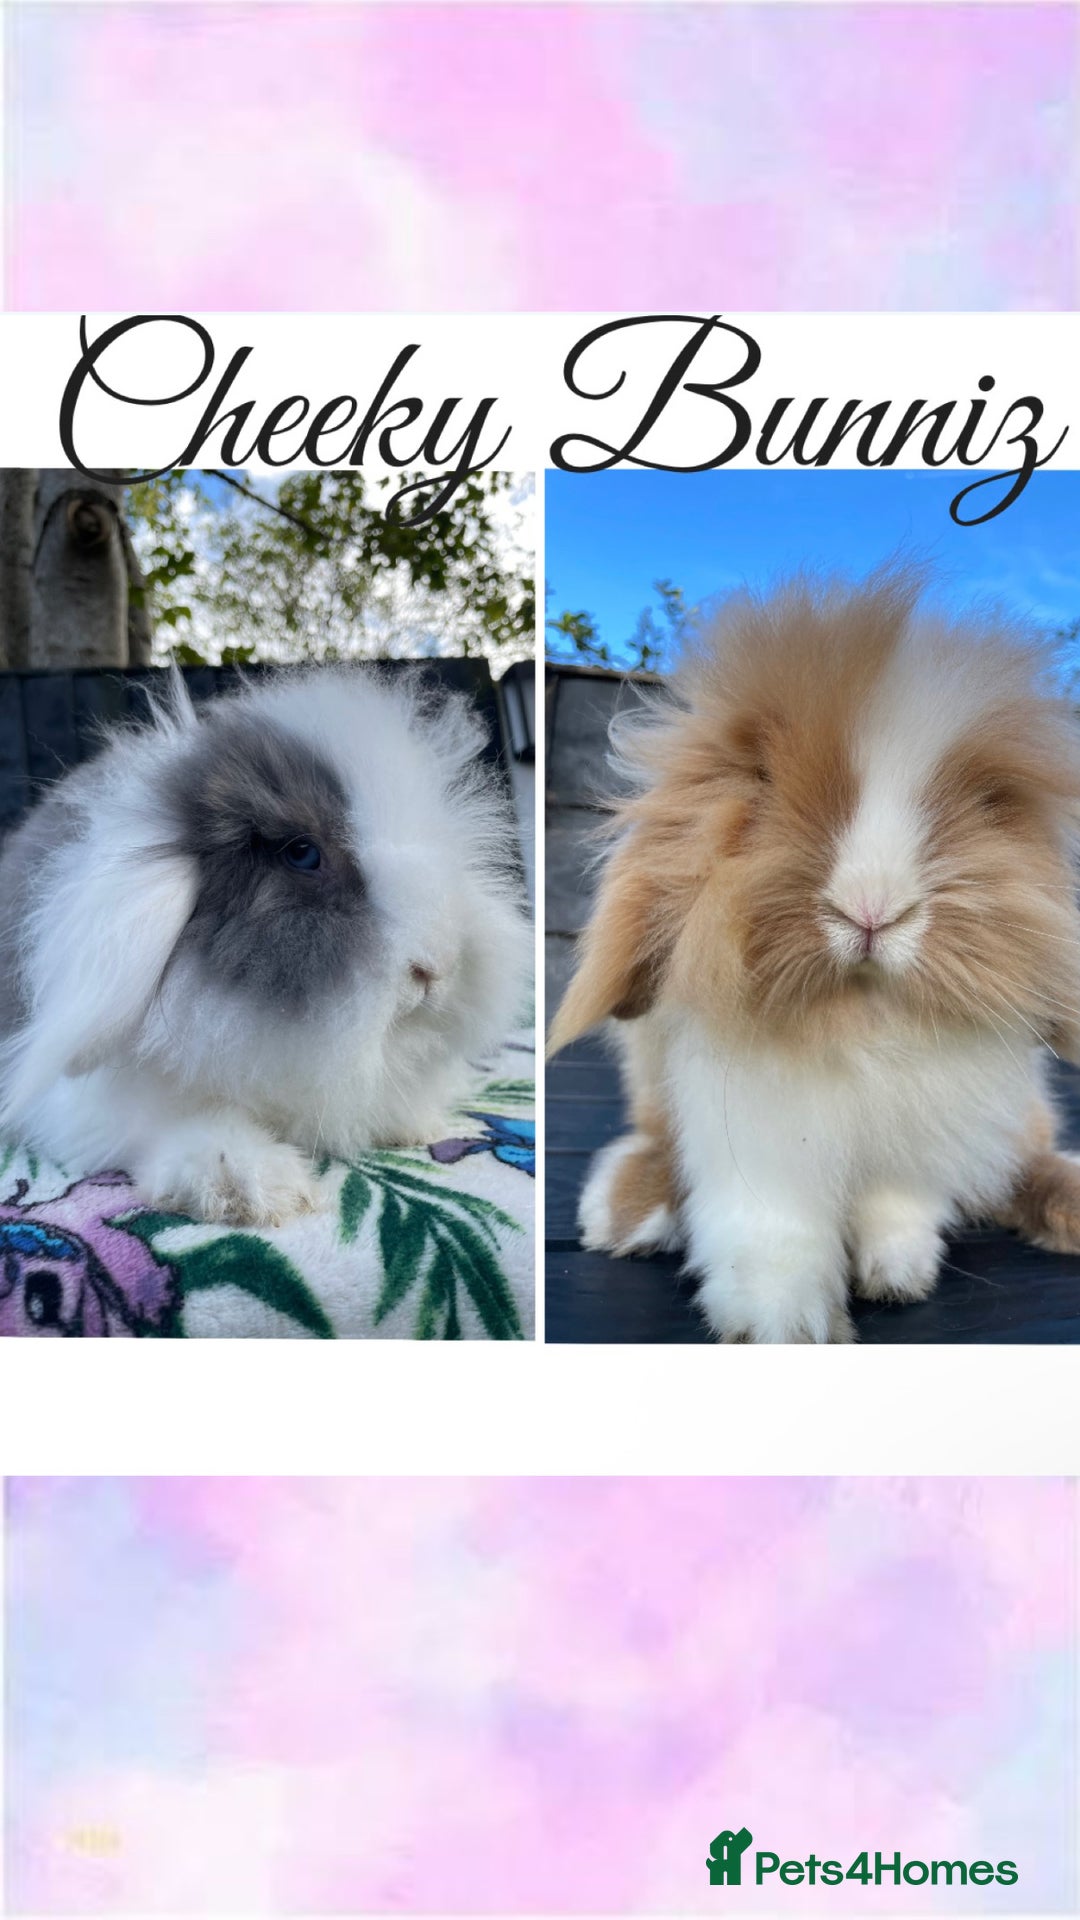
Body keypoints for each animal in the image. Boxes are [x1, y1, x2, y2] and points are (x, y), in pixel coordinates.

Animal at [548, 567, 1080, 1343]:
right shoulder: (754, 1141)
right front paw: (784, 1324)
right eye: (763, 780)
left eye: (985, 804)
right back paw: (622, 1218)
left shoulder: (921, 1133)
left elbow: (899, 1205)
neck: (855, 1021)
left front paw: (897, 1274)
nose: (872, 908)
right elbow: (774, 1234)